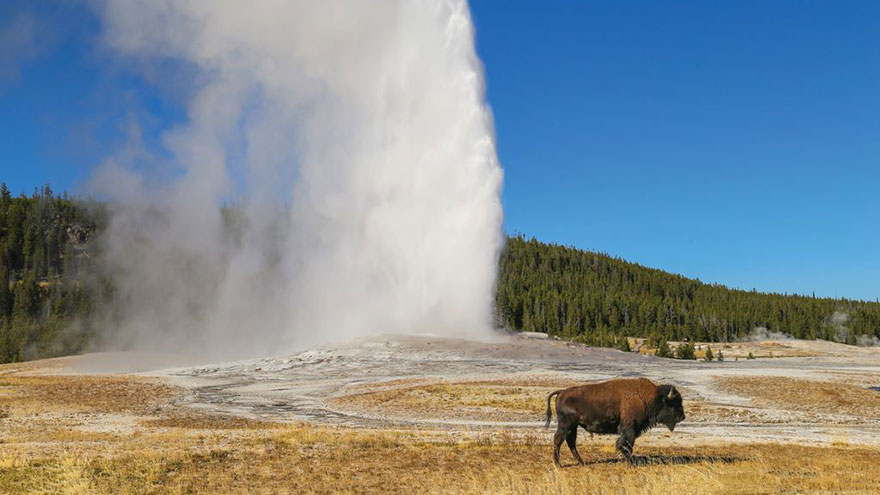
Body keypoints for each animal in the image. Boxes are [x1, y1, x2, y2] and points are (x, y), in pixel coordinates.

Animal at [548, 380, 684, 464]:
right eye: (674, 403)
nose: (682, 417)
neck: (649, 398)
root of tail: (562, 392)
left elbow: (628, 445)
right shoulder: (630, 428)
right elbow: (625, 444)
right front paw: (631, 462)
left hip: (573, 426)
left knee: (570, 442)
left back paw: (581, 462)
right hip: (566, 425)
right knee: (558, 440)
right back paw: (558, 464)